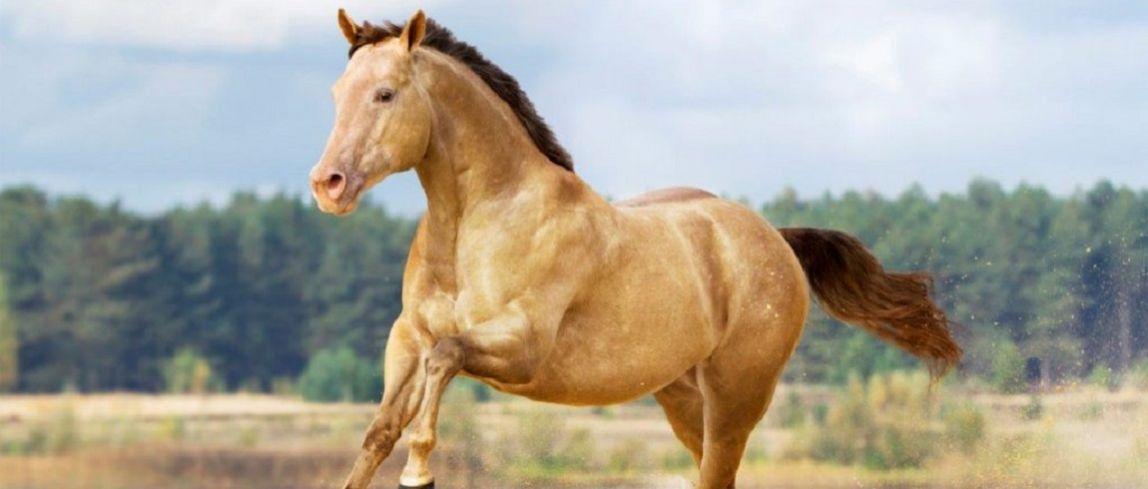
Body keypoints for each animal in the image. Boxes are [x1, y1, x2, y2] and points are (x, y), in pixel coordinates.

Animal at [308, 9, 961, 489]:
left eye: (386, 94)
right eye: (337, 92)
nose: (327, 184)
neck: (479, 224)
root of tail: (774, 238)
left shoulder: (521, 348)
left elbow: (445, 360)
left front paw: (420, 470)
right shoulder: (406, 339)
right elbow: (379, 431)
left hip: (737, 397)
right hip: (681, 397)